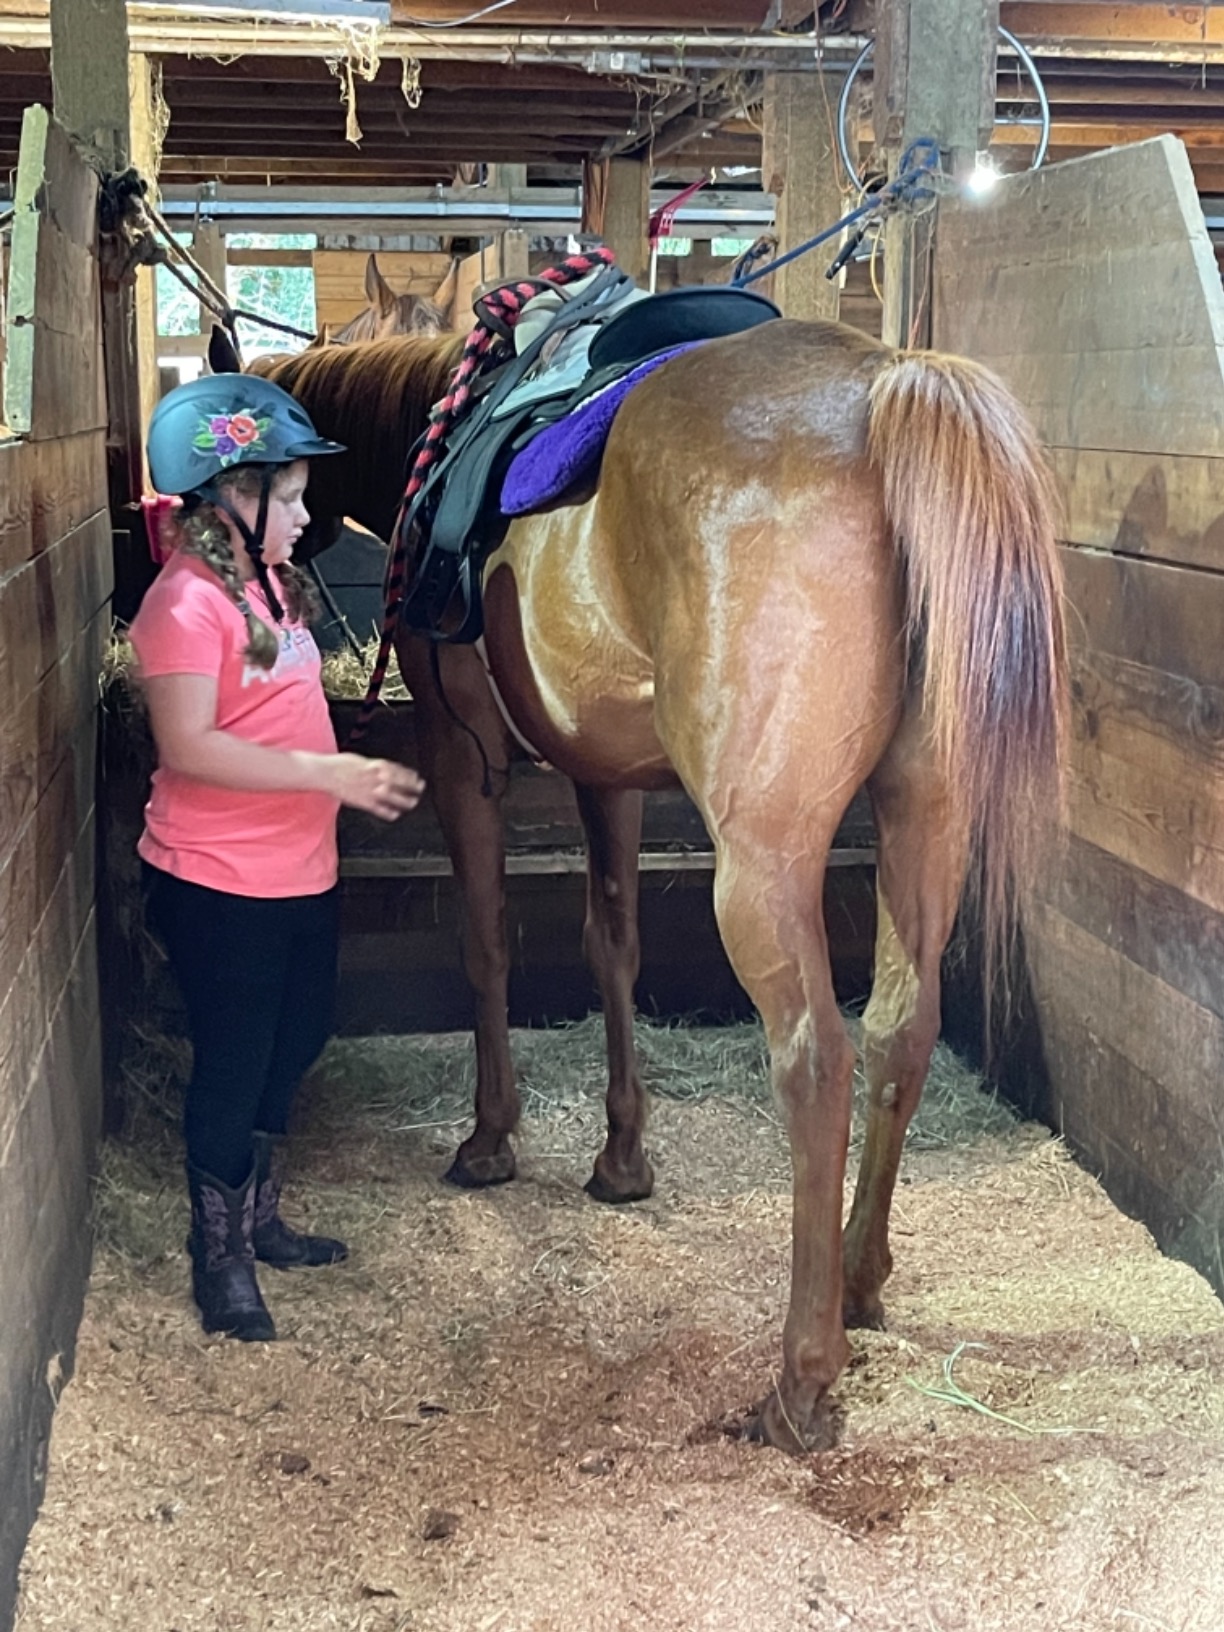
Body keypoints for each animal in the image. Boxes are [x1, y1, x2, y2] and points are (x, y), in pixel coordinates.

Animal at [214, 319, 1067, 1452]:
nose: (280, 572)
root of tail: (881, 384)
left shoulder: (462, 759)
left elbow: (488, 941)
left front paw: (490, 1138)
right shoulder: (607, 778)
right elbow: (610, 945)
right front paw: (621, 1157)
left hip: (762, 868)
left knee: (817, 1062)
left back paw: (801, 1377)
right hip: (925, 821)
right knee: (900, 1028)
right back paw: (859, 1279)